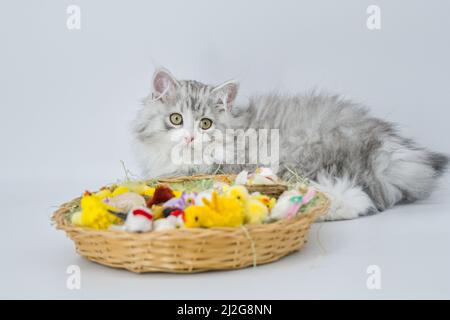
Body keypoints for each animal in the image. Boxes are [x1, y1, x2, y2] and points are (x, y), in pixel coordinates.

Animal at [132, 69, 448, 221]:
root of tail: (387, 147)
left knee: (351, 198)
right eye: (176, 119)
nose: (189, 137)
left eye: (206, 124)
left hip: (306, 162)